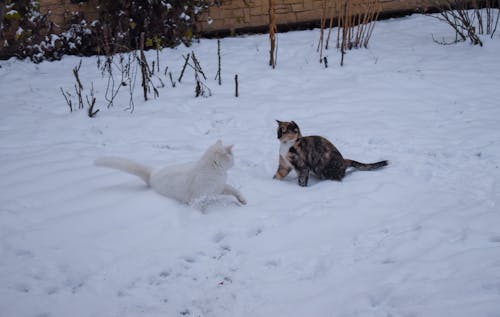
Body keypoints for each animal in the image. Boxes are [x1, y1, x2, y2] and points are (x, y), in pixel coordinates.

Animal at [94, 140, 246, 205]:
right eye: (232, 156)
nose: (235, 162)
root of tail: (153, 172)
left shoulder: (220, 188)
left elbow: (234, 189)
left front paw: (242, 200)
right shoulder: (198, 197)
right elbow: (199, 207)